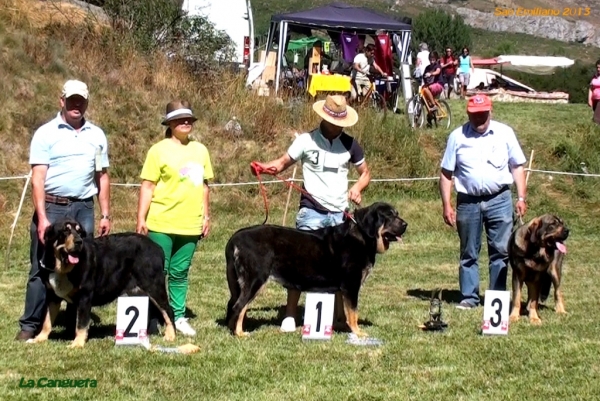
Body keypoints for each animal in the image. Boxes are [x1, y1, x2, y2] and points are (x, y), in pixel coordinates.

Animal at [27, 217, 176, 346]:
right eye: (65, 230)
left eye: (79, 231)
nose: (79, 241)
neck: (63, 269)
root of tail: (157, 248)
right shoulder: (52, 296)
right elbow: (47, 320)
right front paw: (39, 338)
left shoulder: (85, 296)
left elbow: (81, 323)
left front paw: (77, 343)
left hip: (153, 286)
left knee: (168, 310)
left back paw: (170, 335)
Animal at [225, 202, 408, 336]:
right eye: (389, 215)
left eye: (396, 213)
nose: (406, 224)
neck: (362, 236)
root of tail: (235, 238)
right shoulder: (351, 285)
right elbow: (353, 312)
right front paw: (358, 333)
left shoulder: (342, 288)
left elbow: (343, 311)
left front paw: (341, 327)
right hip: (255, 280)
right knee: (239, 306)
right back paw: (240, 333)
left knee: (233, 305)